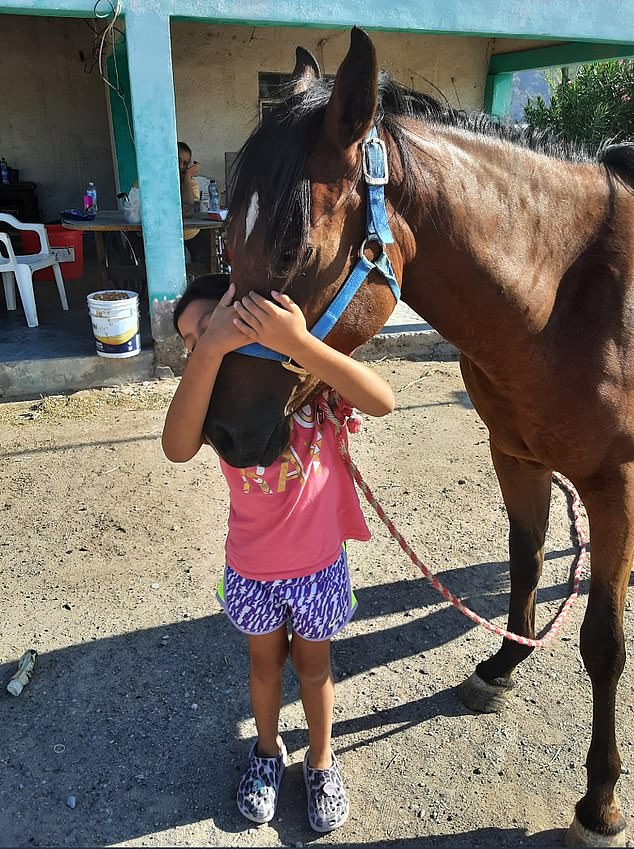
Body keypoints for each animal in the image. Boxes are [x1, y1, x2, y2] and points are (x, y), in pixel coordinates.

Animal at [204, 28, 632, 848]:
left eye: (291, 248)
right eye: (225, 242)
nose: (225, 432)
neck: (571, 300)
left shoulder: (614, 487)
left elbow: (603, 643)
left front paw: (598, 801)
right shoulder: (515, 455)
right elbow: (525, 565)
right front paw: (499, 669)